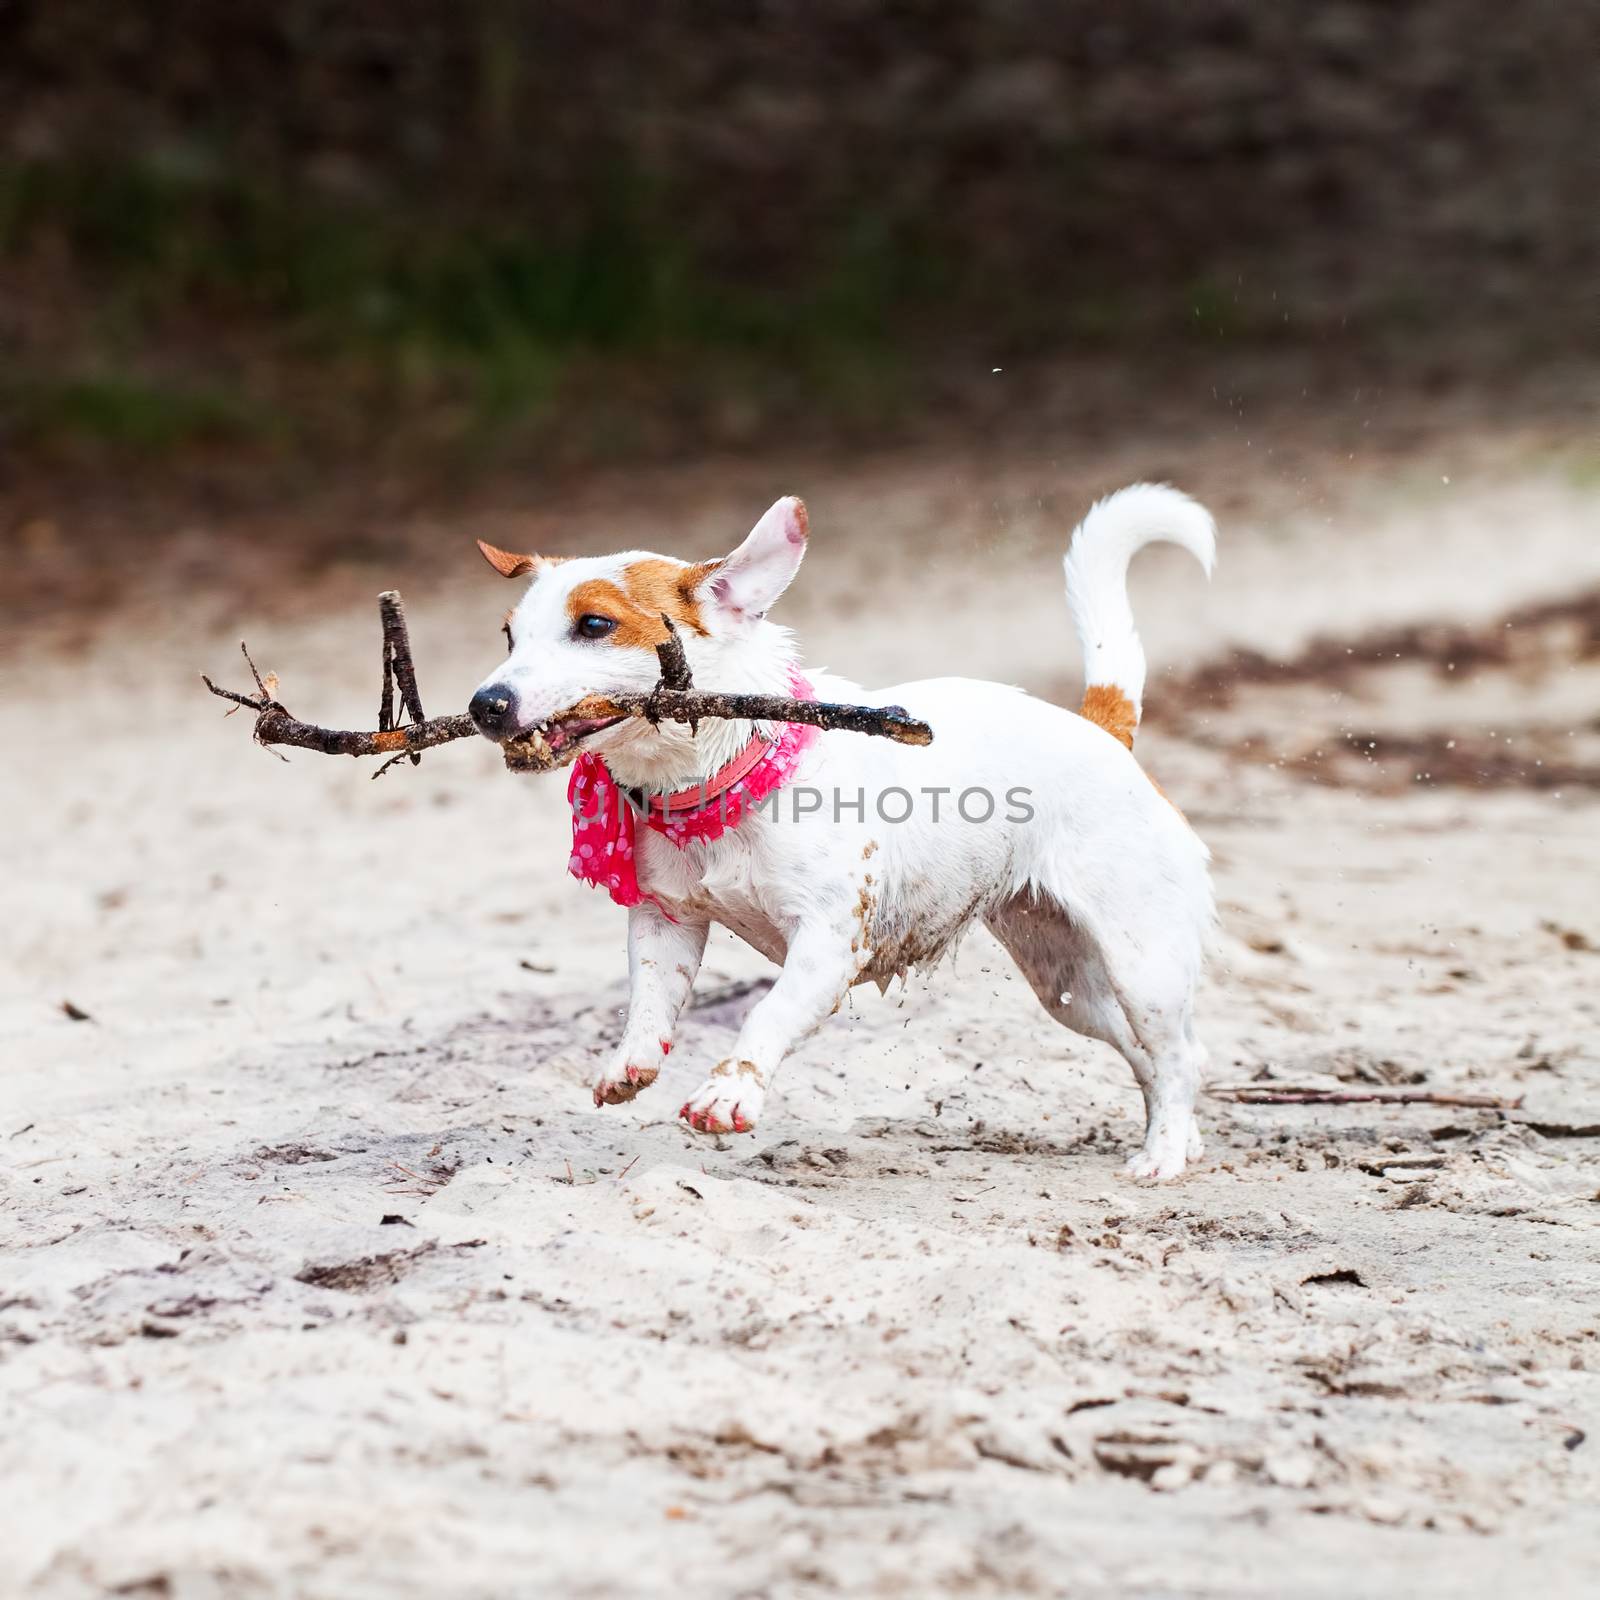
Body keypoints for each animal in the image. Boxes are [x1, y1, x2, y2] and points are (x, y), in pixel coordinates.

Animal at [467, 483, 1216, 1177]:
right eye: (508, 636)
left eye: (595, 624)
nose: (484, 705)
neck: (727, 779)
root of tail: (1101, 730)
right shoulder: (666, 919)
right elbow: (651, 998)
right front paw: (631, 1061)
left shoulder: (827, 943)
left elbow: (767, 1013)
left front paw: (729, 1094)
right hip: (1069, 986)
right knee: (1152, 1057)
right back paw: (1178, 1138)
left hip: (1142, 963)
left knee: (1178, 1053)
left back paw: (1163, 1155)